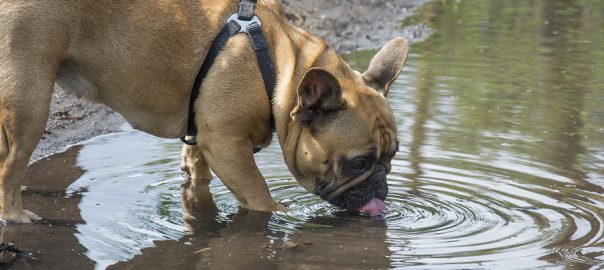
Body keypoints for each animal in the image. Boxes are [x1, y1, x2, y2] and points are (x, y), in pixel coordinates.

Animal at [0, 0, 408, 224]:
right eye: (357, 164)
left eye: (392, 157)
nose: (382, 187)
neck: (280, 68)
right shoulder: (227, 145)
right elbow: (258, 194)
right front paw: (279, 214)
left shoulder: (203, 132)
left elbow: (197, 166)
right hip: (29, 98)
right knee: (11, 165)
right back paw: (15, 215)